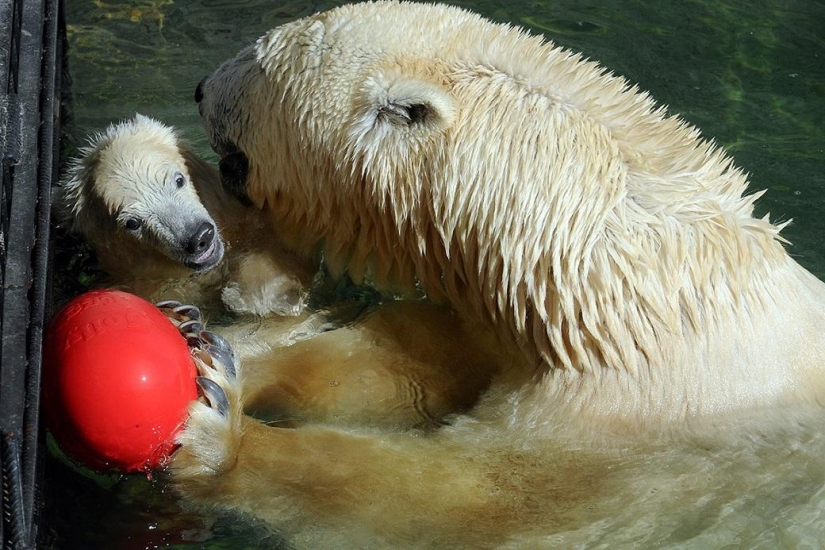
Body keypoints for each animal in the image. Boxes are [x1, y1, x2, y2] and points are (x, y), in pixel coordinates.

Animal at [55, 113, 502, 430]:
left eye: (177, 179)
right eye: (132, 222)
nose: (197, 238)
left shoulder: (253, 225)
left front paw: (246, 298)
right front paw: (185, 320)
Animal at [172, 1, 825, 547]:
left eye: (256, 60)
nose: (199, 87)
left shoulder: (629, 425)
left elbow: (466, 497)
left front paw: (222, 441)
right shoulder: (505, 323)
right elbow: (405, 358)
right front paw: (219, 349)